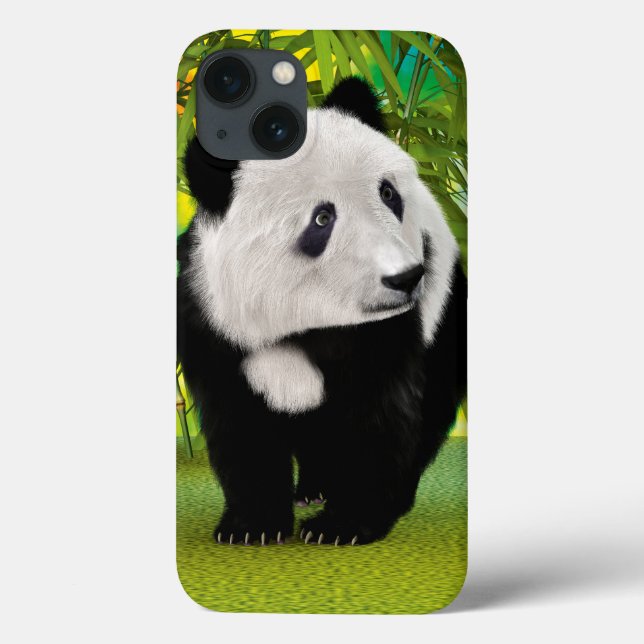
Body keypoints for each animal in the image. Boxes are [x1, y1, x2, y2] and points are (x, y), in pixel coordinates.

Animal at [177, 77, 467, 546]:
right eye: (322, 218)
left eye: (388, 193)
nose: (405, 279)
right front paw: (252, 526)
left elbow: (377, 416)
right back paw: (311, 488)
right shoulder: (211, 320)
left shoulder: (386, 329)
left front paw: (342, 525)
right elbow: (240, 422)